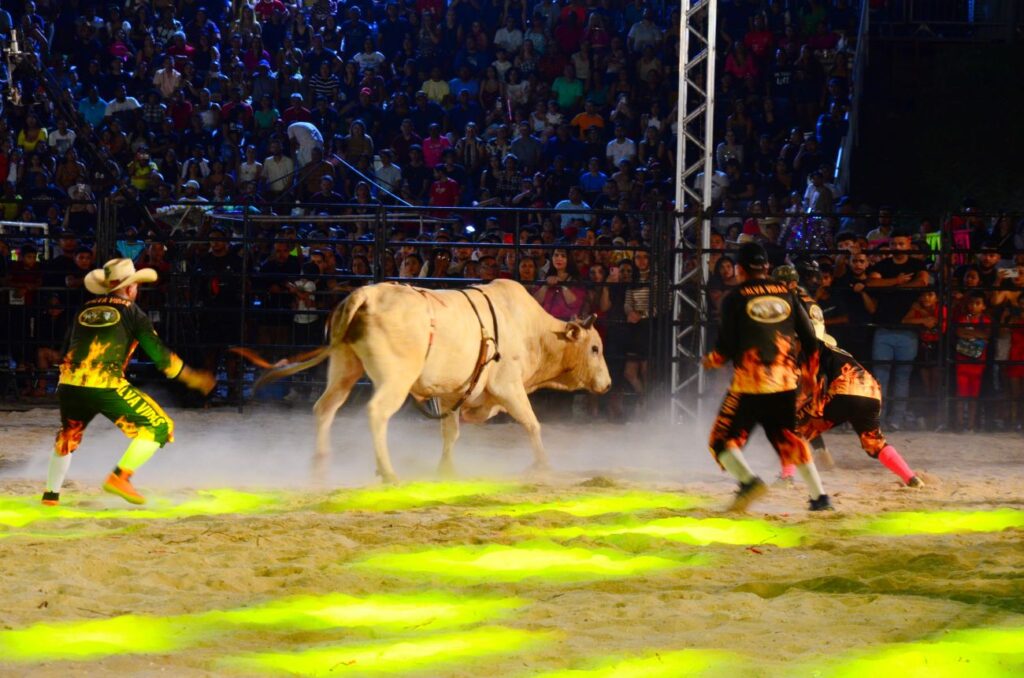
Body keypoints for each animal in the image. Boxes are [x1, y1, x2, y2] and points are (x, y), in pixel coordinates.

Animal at [251, 280, 610, 483]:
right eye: (594, 348)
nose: (606, 385)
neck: (532, 330)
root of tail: (365, 295)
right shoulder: (508, 386)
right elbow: (531, 423)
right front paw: (544, 465)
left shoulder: (453, 393)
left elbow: (450, 433)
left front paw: (447, 470)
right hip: (396, 378)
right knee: (377, 412)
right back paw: (388, 472)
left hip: (344, 366)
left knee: (325, 408)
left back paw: (320, 465)